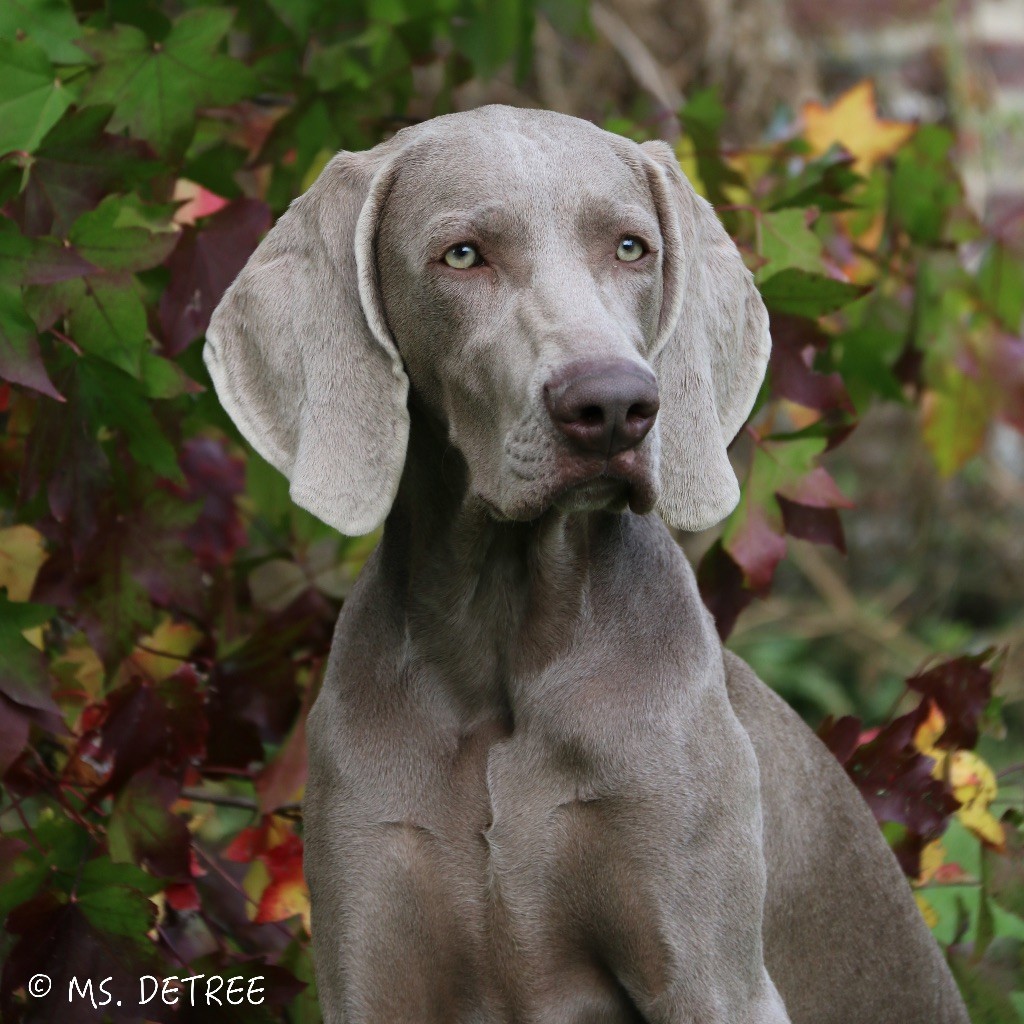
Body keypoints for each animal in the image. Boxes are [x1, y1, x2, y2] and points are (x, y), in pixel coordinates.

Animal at [205, 105, 966, 1024]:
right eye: (463, 254)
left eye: (632, 247)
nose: (613, 406)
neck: (501, 638)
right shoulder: (371, 962)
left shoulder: (713, 976)